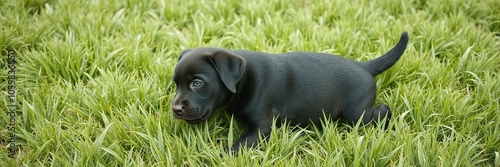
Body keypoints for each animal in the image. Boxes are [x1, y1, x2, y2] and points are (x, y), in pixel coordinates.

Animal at [174, 31, 408, 153]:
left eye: (197, 83)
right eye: (176, 83)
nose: (175, 109)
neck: (244, 80)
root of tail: (364, 67)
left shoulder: (261, 128)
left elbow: (237, 146)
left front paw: (216, 154)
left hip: (357, 113)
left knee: (380, 111)